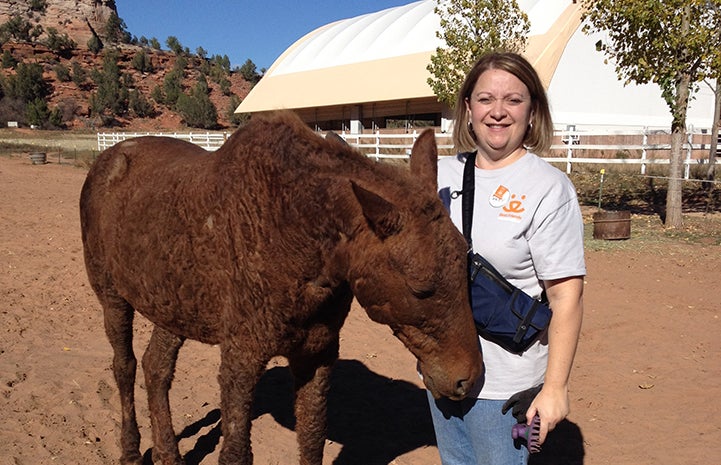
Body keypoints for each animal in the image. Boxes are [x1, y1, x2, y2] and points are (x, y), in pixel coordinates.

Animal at [79, 110, 480, 462]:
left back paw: (167, 454)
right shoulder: (241, 357)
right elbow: (236, 453)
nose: (469, 379)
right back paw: (131, 452)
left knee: (156, 367)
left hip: (172, 307)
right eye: (420, 287)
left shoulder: (317, 354)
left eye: (466, 263)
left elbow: (312, 440)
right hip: (113, 298)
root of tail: (107, 159)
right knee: (125, 366)